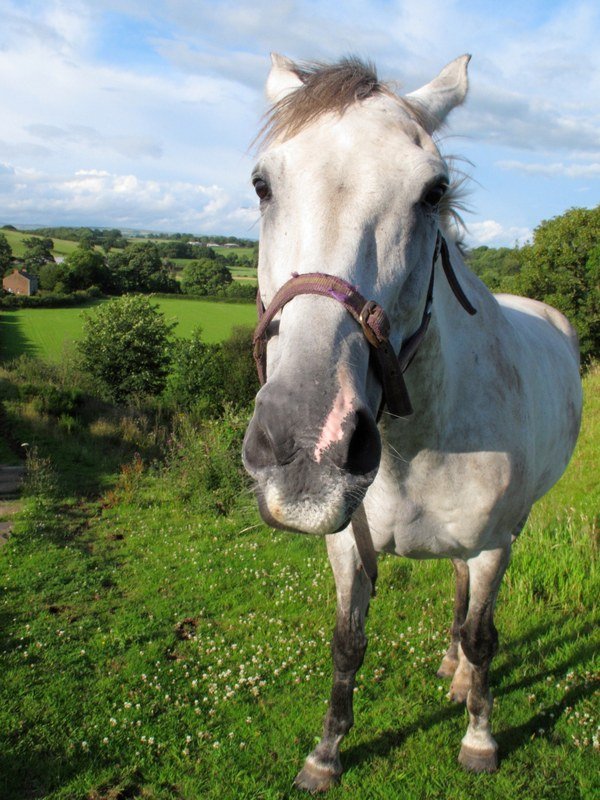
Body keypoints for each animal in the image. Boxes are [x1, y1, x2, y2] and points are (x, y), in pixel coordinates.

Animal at [243, 53, 580, 792]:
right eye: (262, 185)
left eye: (433, 191)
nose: (305, 448)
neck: (412, 447)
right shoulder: (346, 544)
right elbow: (347, 645)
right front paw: (326, 753)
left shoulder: (493, 545)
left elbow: (484, 636)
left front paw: (479, 739)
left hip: (512, 527)